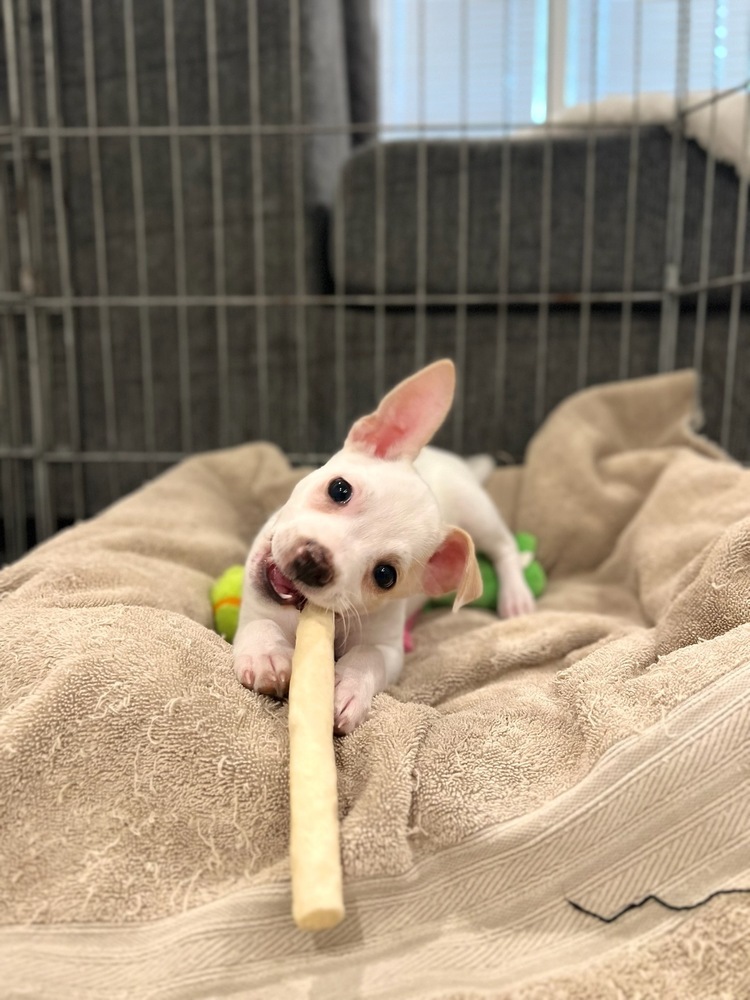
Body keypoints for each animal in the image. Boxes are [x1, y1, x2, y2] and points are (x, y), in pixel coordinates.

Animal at [235, 362, 536, 736]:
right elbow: (261, 625)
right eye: (339, 489)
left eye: (385, 575)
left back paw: (517, 597)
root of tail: (453, 460)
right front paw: (267, 655)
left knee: (505, 548)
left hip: (479, 515)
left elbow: (369, 657)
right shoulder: (252, 608)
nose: (314, 562)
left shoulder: (388, 650)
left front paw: (347, 688)